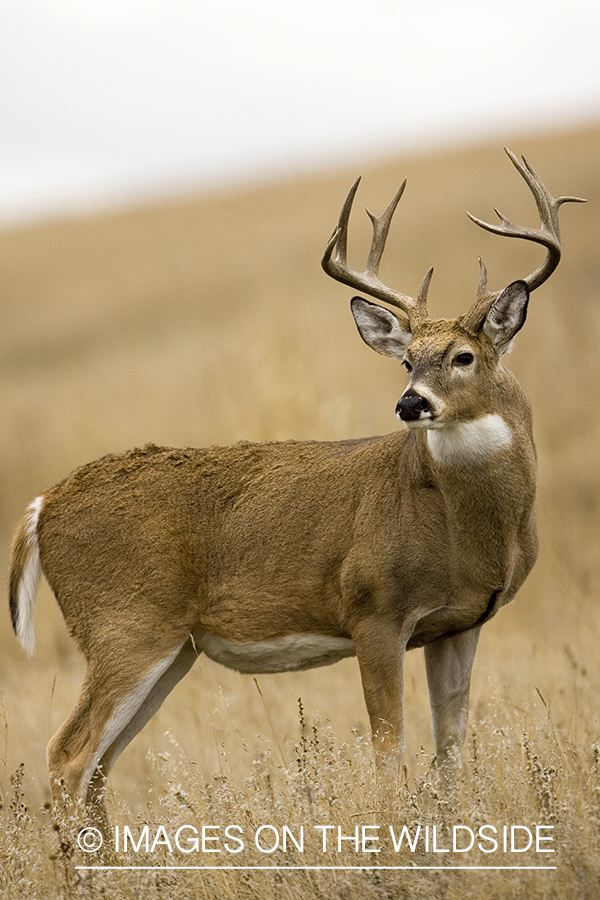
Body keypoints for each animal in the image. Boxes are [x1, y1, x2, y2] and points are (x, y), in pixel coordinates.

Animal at [8, 149, 580, 836]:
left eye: (463, 356)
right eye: (406, 359)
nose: (410, 403)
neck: (460, 525)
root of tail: (42, 505)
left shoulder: (459, 623)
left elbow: (450, 754)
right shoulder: (373, 609)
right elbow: (388, 752)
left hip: (172, 648)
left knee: (97, 767)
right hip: (125, 624)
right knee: (68, 757)